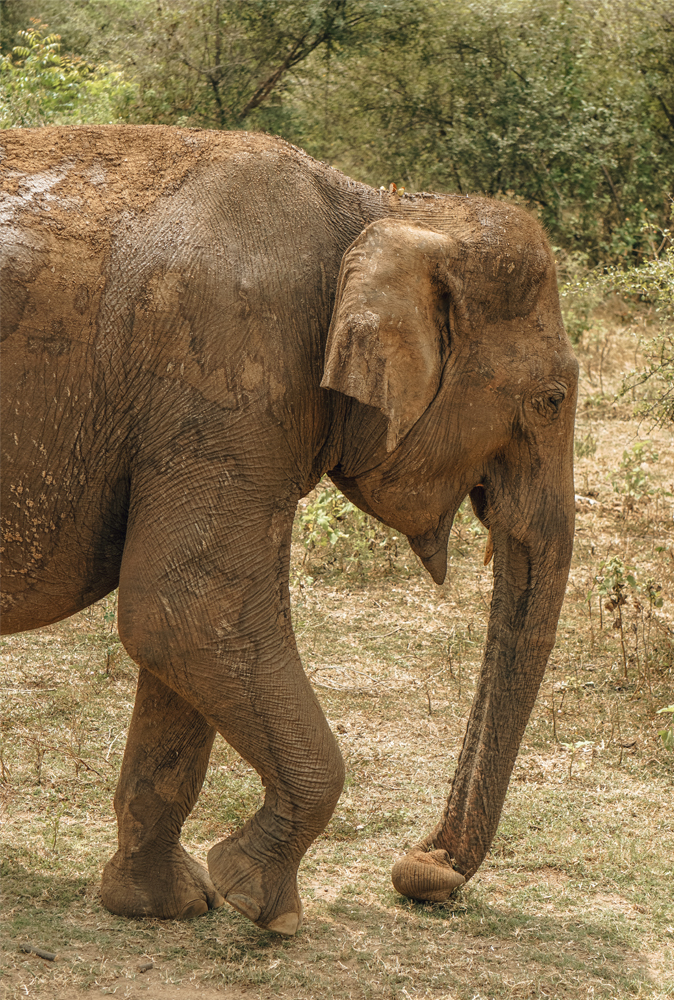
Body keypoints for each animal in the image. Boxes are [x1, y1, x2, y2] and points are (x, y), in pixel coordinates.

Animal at [1, 125, 576, 936]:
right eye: (551, 399)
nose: (422, 870)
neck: (381, 208)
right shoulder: (229, 374)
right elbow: (187, 609)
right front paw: (261, 905)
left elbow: (186, 631)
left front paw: (166, 907)